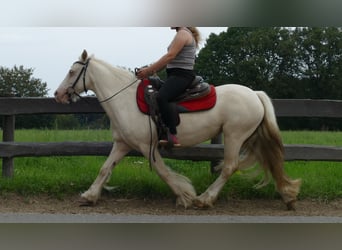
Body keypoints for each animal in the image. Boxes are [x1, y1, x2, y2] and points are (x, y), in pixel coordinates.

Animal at [54, 49, 300, 210]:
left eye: (71, 72)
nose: (58, 94)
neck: (125, 99)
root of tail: (255, 94)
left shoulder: (147, 145)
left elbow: (162, 171)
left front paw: (185, 196)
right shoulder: (123, 144)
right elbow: (105, 169)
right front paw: (89, 196)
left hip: (234, 136)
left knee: (229, 167)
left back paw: (205, 199)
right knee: (269, 161)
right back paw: (288, 195)